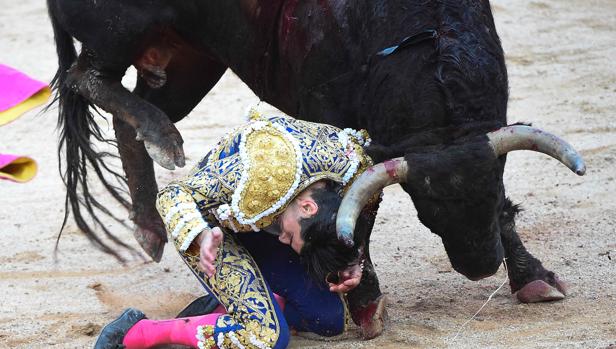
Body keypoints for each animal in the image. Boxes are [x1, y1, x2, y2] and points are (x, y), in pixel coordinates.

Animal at [47, 0, 584, 338]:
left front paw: (533, 276)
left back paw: (150, 224)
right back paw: (163, 141)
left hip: (189, 59)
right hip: (120, 29)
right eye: (426, 213)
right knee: (84, 77)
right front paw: (366, 306)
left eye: (491, 197)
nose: (480, 266)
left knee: (125, 112)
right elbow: (358, 218)